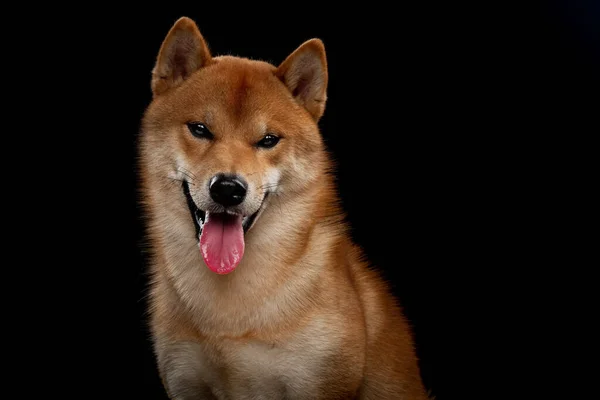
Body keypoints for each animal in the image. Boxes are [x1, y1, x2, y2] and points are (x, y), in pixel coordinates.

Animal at [139, 15, 432, 400]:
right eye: (200, 129)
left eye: (268, 140)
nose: (228, 189)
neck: (226, 314)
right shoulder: (185, 381)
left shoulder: (321, 383)